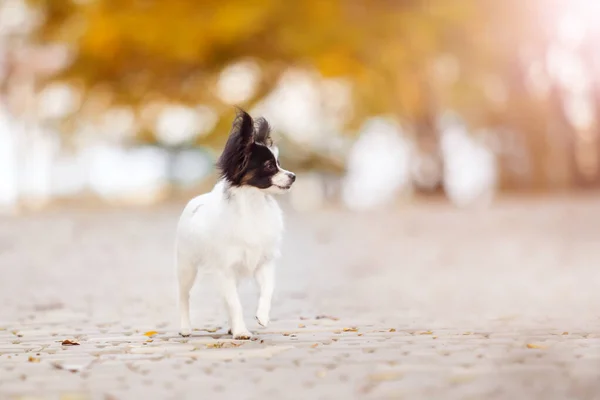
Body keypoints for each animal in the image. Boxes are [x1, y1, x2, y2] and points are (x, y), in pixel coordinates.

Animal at [173, 108, 296, 338]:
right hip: (187, 268)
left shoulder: (263, 262)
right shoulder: (225, 269)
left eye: (280, 164)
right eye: (269, 166)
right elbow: (235, 303)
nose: (293, 176)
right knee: (184, 296)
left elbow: (267, 291)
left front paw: (261, 316)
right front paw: (241, 331)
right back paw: (185, 328)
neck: (254, 204)